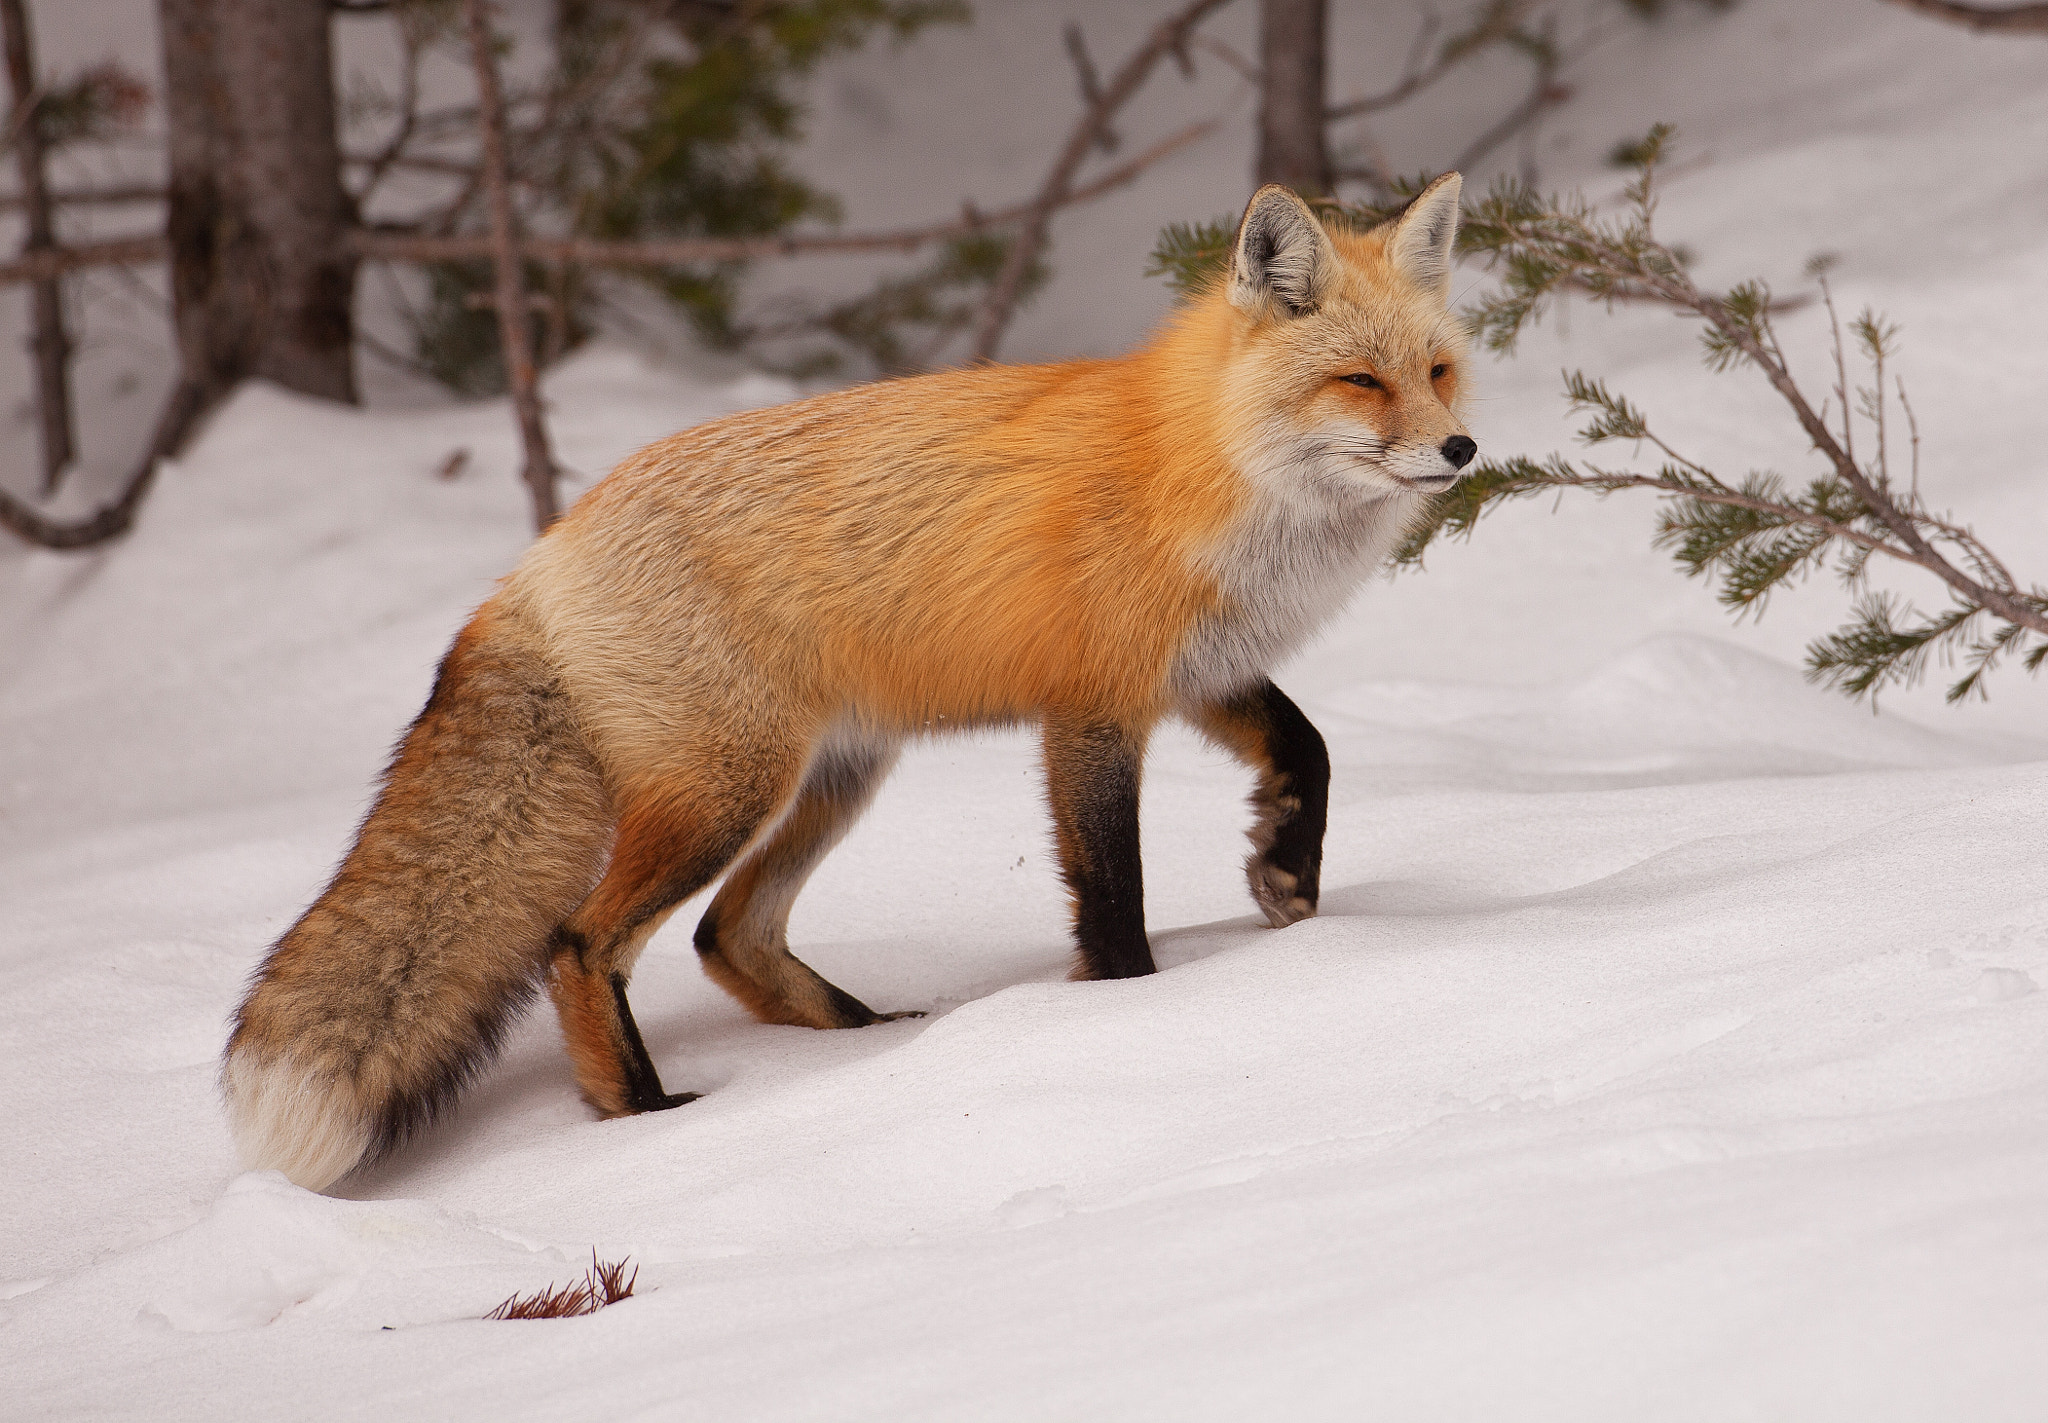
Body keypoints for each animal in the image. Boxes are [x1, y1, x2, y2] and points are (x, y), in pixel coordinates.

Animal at [223, 176, 1477, 1192]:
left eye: (1436, 371)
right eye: (1358, 382)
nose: (1461, 451)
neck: (1205, 470)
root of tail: (536, 555)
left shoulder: (1196, 670)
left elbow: (1309, 749)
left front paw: (1284, 874)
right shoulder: (1092, 708)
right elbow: (1110, 893)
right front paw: (1126, 1009)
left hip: (833, 777)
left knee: (727, 936)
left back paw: (865, 1042)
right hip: (726, 790)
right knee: (582, 943)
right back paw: (641, 1112)